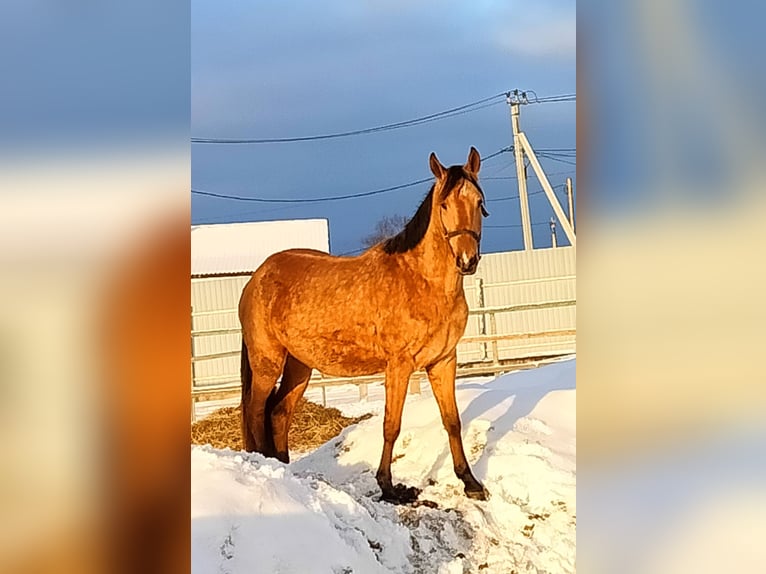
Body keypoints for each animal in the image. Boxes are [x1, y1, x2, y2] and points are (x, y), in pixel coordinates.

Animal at [240, 148, 492, 504]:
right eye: (444, 205)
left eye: (478, 201)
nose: (467, 261)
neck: (421, 281)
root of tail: (256, 278)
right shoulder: (399, 365)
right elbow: (391, 425)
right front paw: (388, 486)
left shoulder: (443, 361)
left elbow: (452, 421)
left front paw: (470, 482)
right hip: (267, 361)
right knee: (255, 410)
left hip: (299, 366)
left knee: (278, 413)